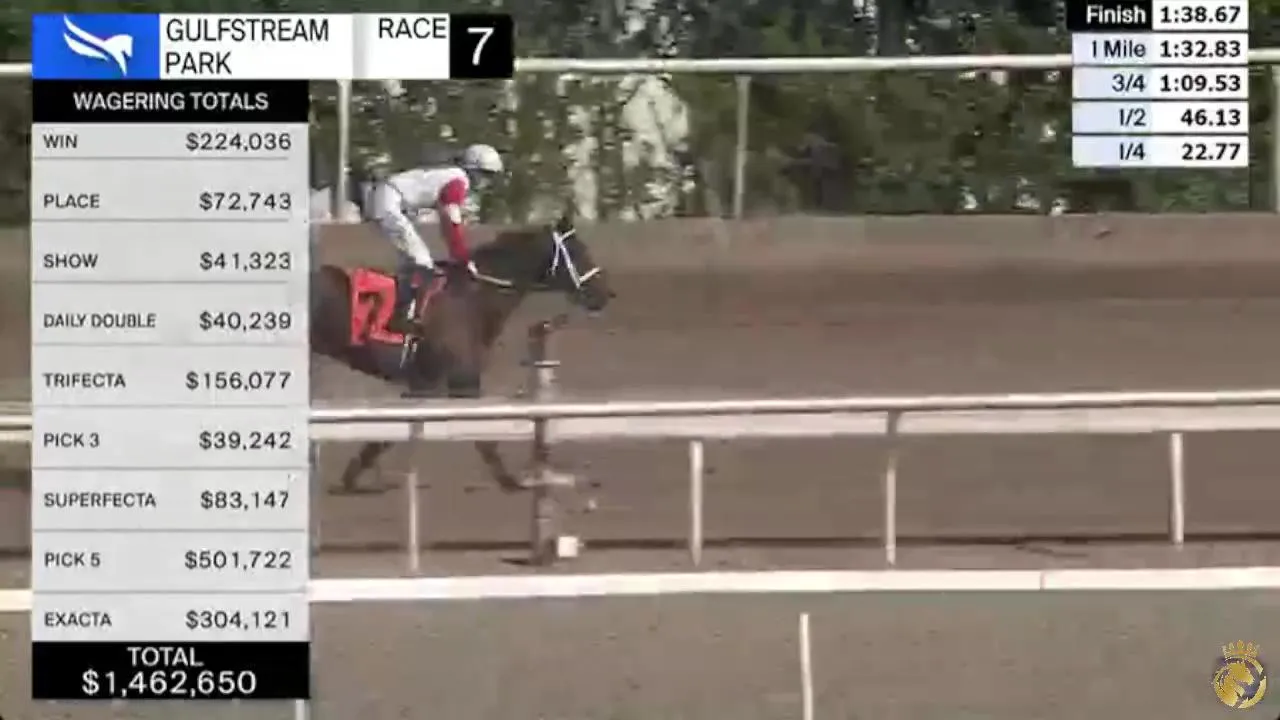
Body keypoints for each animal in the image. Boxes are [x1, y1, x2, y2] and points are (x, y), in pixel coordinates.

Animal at [310, 215, 614, 493]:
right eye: (578, 251)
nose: (604, 294)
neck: (471, 300)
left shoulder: (435, 383)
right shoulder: (450, 382)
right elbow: (481, 436)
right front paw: (513, 481)